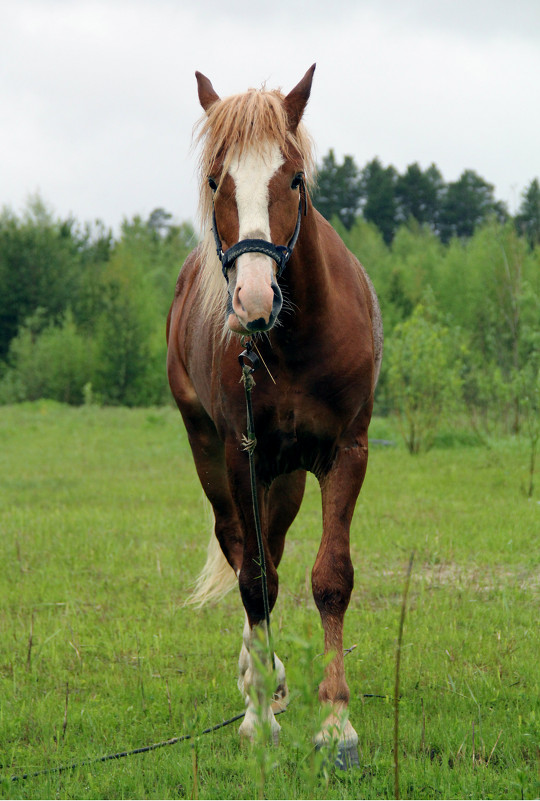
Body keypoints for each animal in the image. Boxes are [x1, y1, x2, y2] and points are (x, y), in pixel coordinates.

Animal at [167, 65, 382, 764]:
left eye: (293, 178)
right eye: (217, 180)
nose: (253, 300)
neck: (294, 339)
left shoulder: (346, 454)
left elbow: (330, 578)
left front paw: (337, 724)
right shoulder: (244, 456)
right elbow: (255, 580)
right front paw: (259, 717)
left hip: (286, 478)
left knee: (276, 550)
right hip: (213, 455)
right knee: (243, 551)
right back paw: (256, 677)